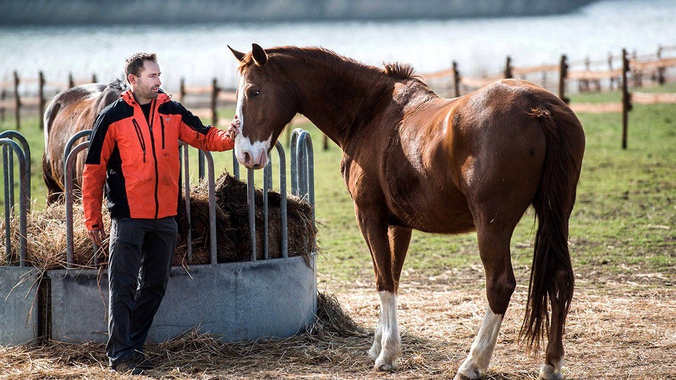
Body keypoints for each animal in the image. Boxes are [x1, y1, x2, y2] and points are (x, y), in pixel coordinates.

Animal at [228, 43, 588, 378]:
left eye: (254, 91)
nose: (245, 154)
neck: (370, 112)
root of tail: (538, 107)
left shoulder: (369, 217)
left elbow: (382, 279)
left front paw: (387, 354)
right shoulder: (399, 225)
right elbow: (393, 276)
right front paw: (378, 345)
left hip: (493, 225)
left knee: (500, 285)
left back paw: (473, 363)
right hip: (558, 215)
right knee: (560, 278)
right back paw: (551, 364)